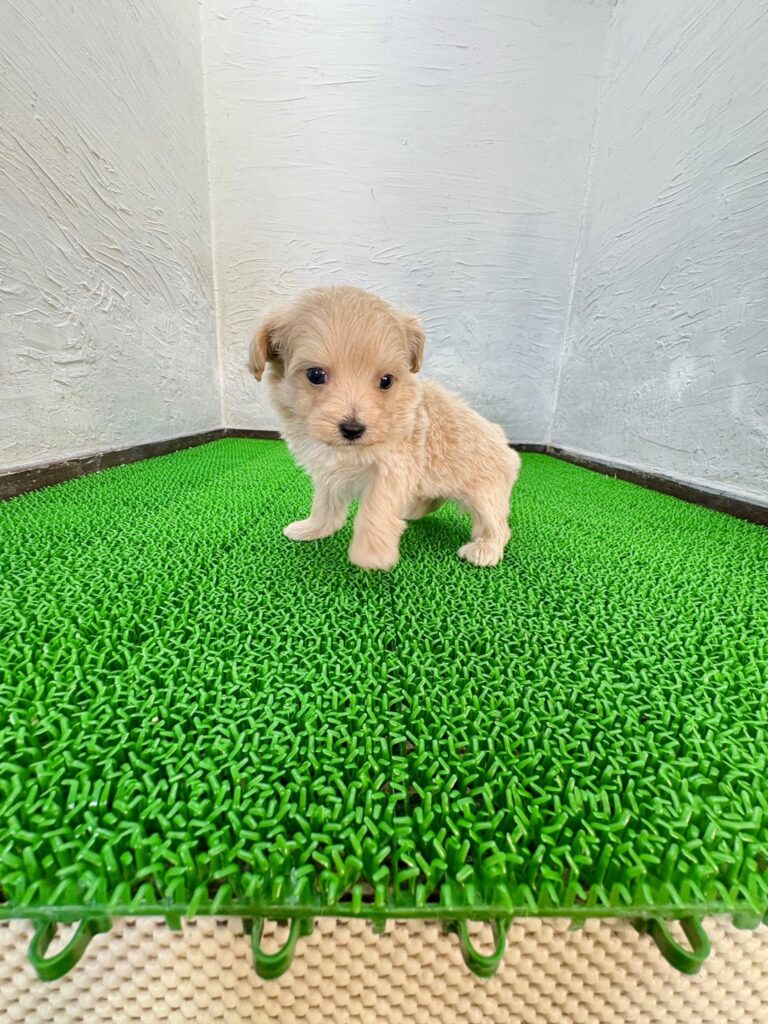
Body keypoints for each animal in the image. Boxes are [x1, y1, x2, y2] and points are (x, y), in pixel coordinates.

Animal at [249, 286, 520, 570]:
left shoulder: (391, 470)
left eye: (386, 381)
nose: (353, 428)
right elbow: (325, 505)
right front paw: (314, 528)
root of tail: (503, 441)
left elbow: (375, 512)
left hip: (485, 491)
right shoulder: (329, 474)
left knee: (496, 524)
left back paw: (486, 549)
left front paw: (371, 555)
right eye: (315, 375)